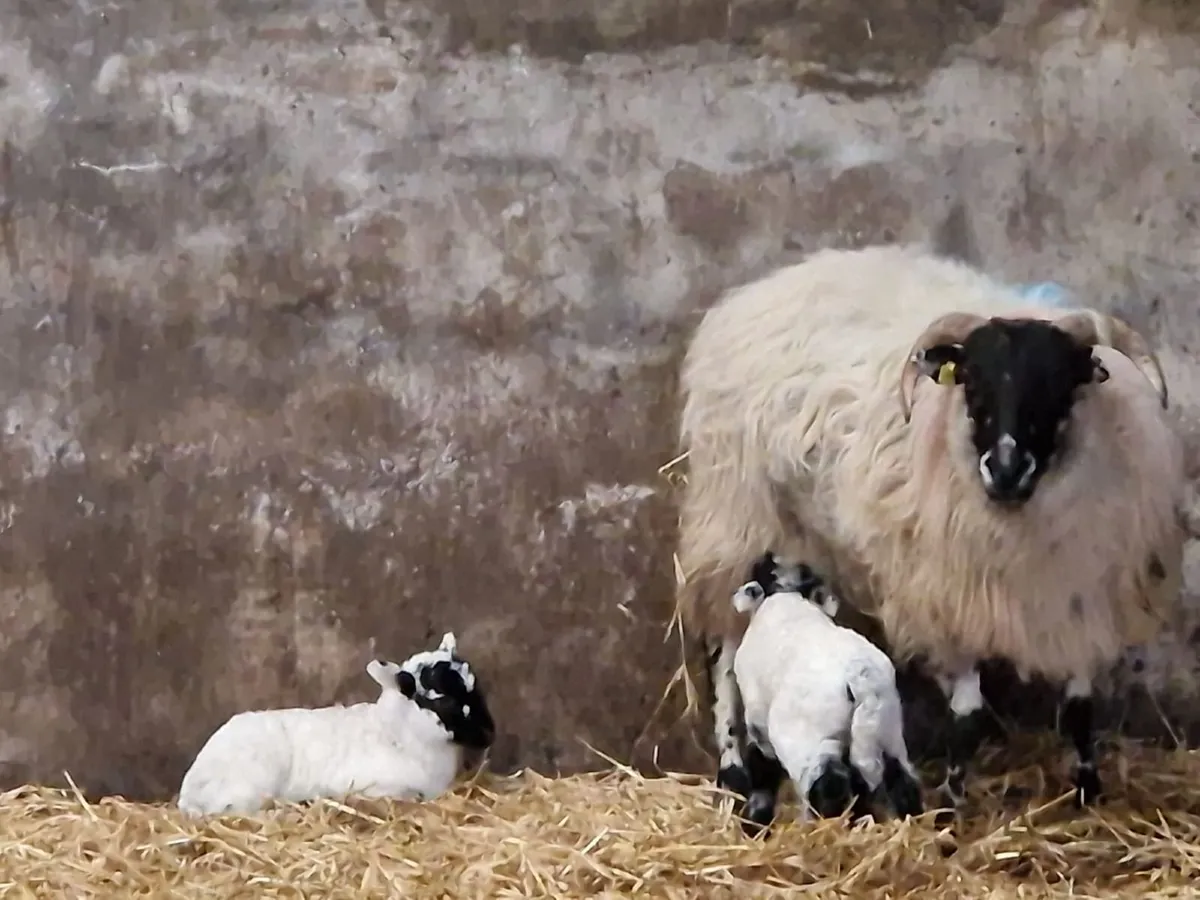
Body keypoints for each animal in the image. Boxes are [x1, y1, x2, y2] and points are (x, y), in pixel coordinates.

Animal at [729, 550, 924, 835]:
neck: (786, 596)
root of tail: (860, 678)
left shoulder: (758, 724)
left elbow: (762, 772)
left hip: (813, 742)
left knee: (828, 788)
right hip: (887, 732)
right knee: (903, 784)